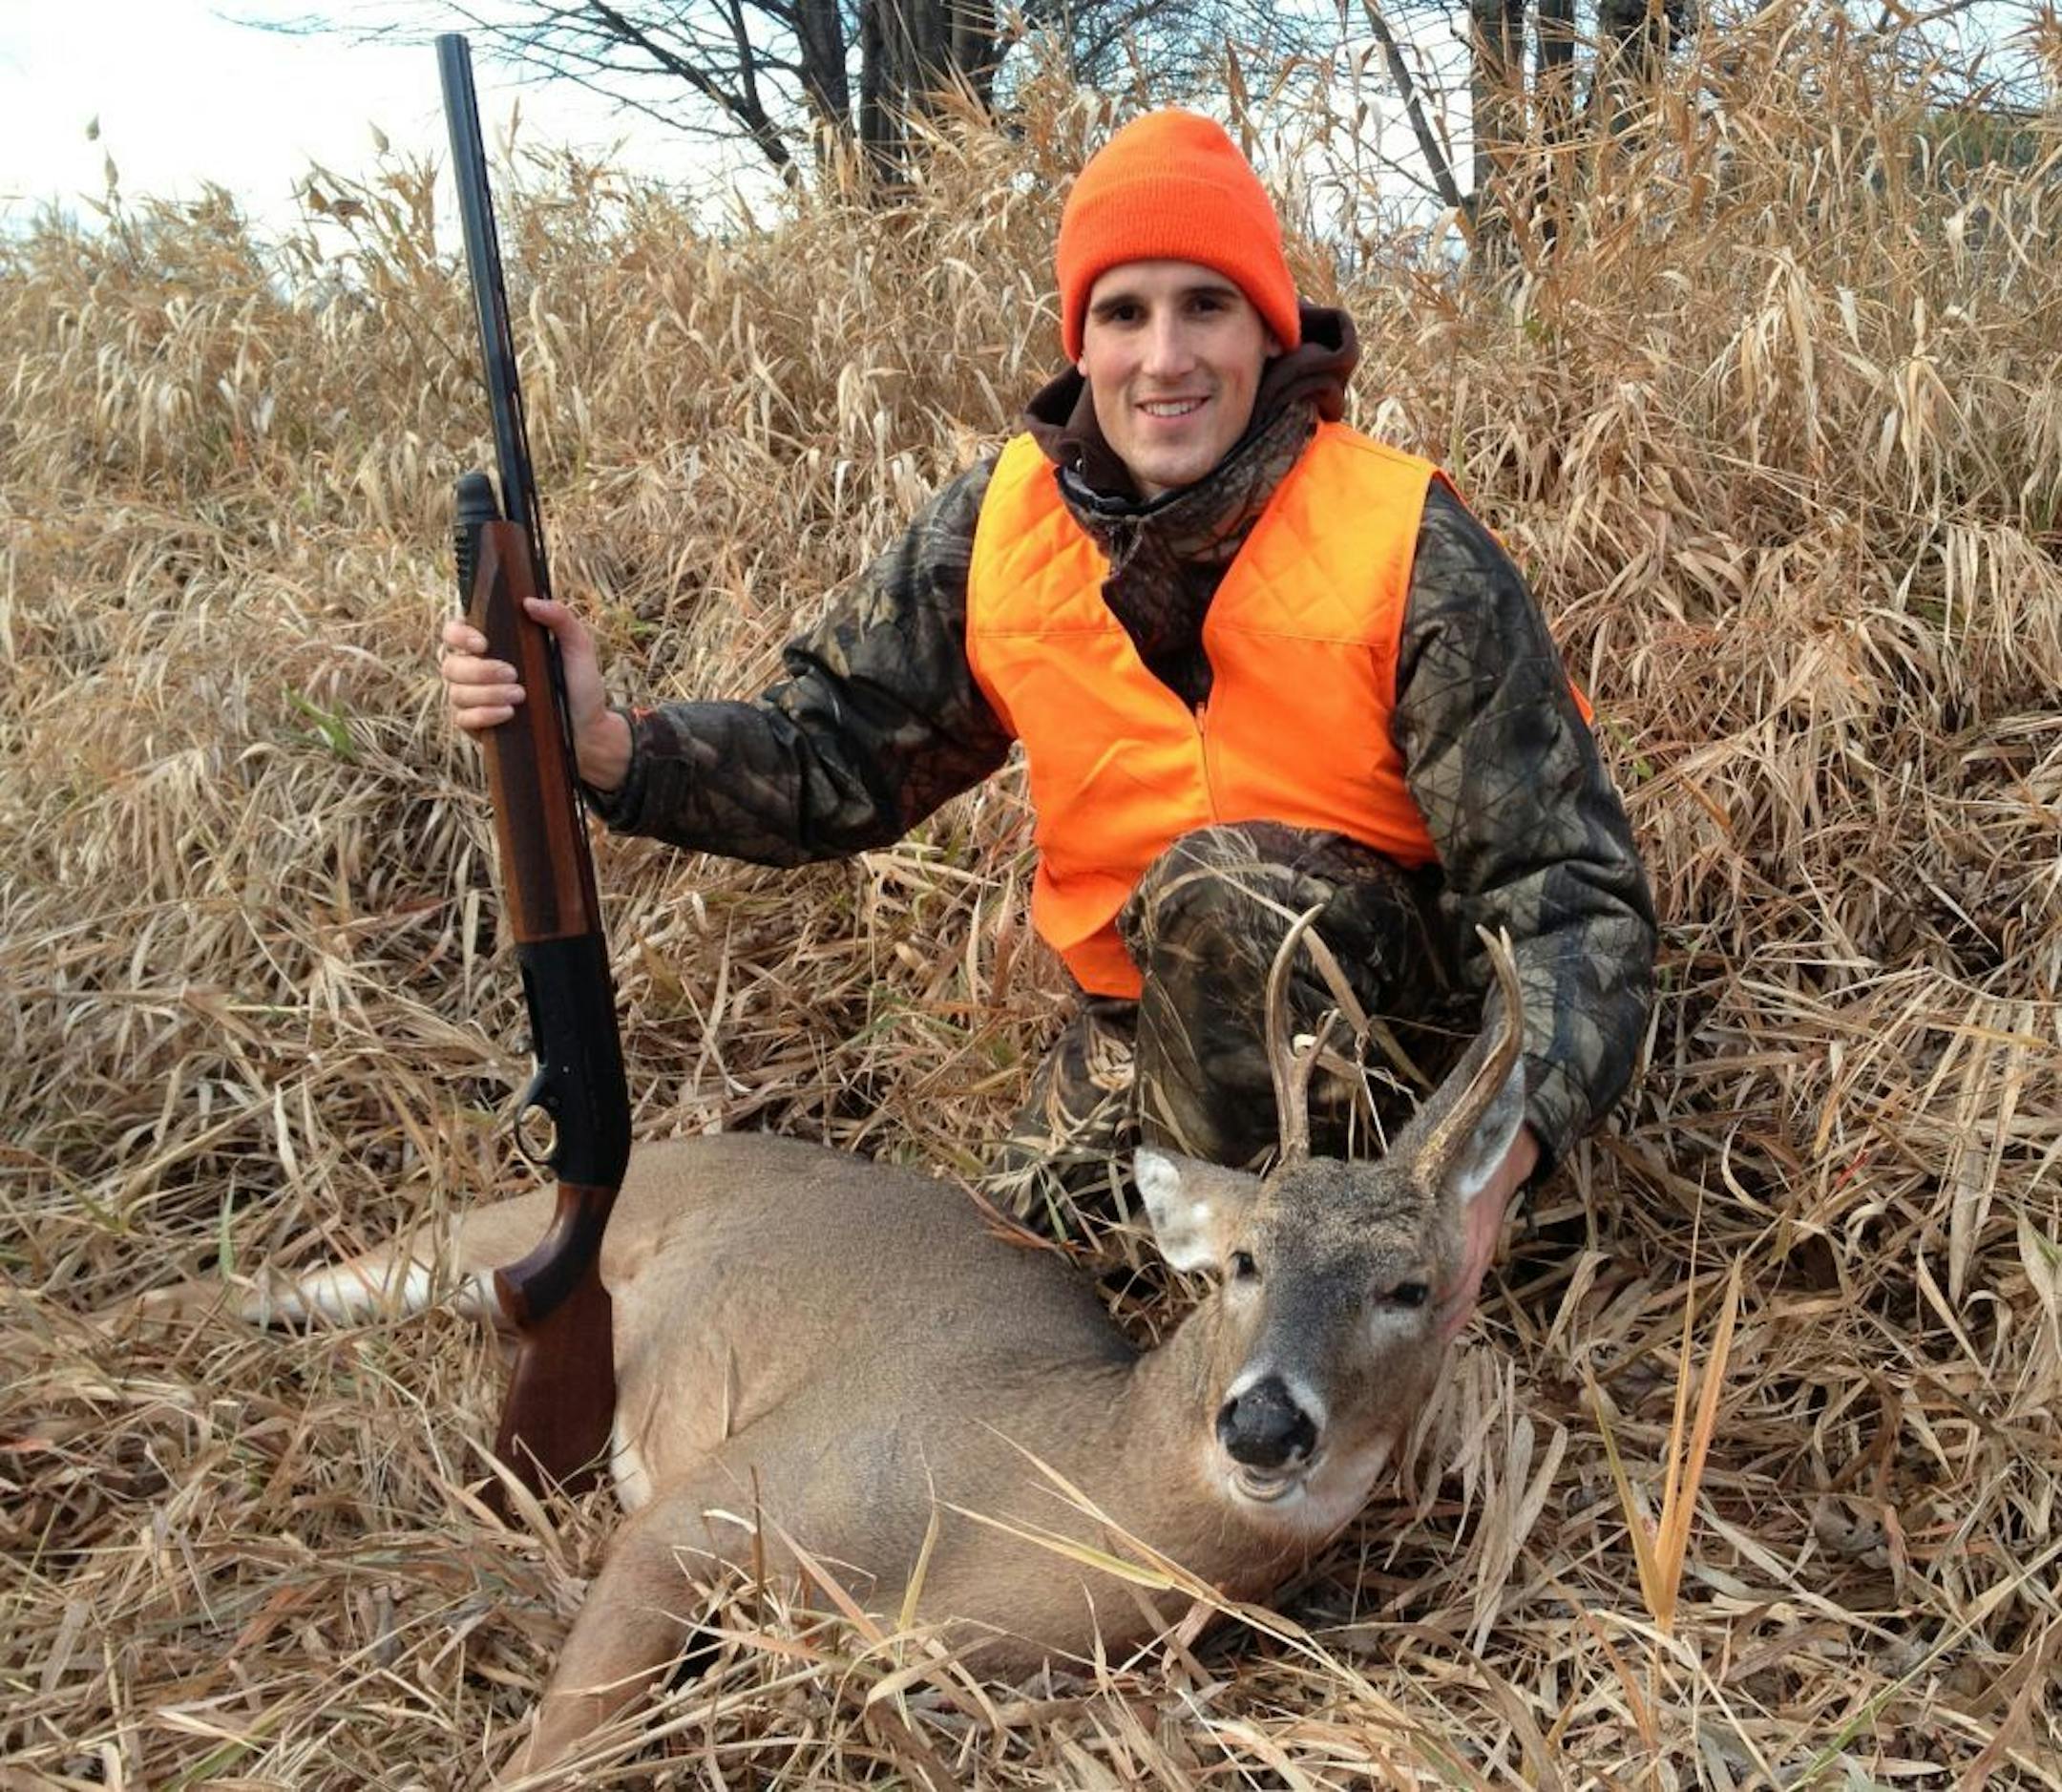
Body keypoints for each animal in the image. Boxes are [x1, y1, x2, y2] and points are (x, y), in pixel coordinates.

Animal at [133, 919, 1526, 1779]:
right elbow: (561, 1750)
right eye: (1243, 1261)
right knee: (305, 1280)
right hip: (495, 1231)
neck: (1014, 1491)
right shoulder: (709, 1507)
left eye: (1409, 1287)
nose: (1263, 1422)